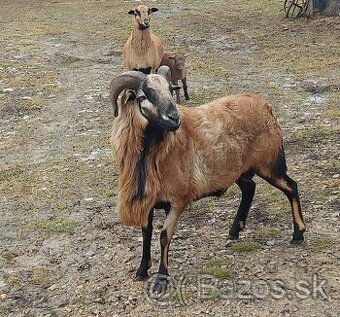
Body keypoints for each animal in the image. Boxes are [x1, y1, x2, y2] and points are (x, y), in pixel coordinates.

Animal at [109, 65, 306, 292]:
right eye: (143, 96)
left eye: (171, 90)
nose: (174, 118)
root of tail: (264, 104)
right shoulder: (148, 200)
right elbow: (146, 232)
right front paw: (142, 271)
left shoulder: (177, 200)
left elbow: (164, 236)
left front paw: (161, 279)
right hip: (239, 170)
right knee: (250, 188)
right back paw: (234, 231)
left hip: (270, 164)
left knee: (291, 187)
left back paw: (298, 234)